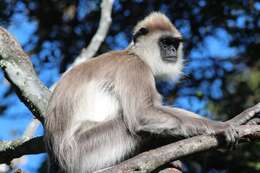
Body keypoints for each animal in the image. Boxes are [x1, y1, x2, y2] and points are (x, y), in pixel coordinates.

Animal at [45, 12, 240, 173]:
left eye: (174, 43)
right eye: (165, 42)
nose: (172, 51)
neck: (134, 54)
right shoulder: (135, 68)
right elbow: (142, 114)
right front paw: (216, 127)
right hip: (83, 152)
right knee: (128, 124)